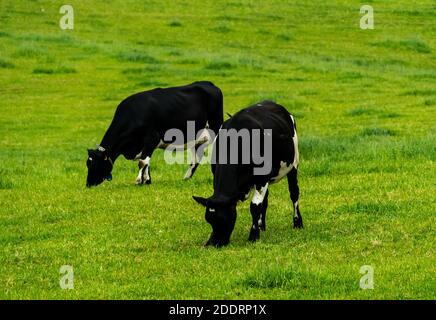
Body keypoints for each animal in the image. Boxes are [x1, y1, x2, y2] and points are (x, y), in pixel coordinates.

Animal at [85, 80, 223, 188]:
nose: (88, 184)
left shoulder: (152, 138)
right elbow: (146, 162)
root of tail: (208, 83)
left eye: (96, 164)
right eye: (88, 163)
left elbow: (142, 161)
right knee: (196, 158)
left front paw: (140, 180)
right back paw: (186, 178)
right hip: (198, 138)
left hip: (216, 127)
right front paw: (146, 181)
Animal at [192, 101, 302, 246]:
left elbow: (255, 206)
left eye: (223, 218)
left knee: (294, 193)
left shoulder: (262, 179)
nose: (213, 243)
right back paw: (262, 226)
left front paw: (253, 236)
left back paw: (297, 223)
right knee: (265, 199)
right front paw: (258, 229)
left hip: (294, 164)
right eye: (209, 220)